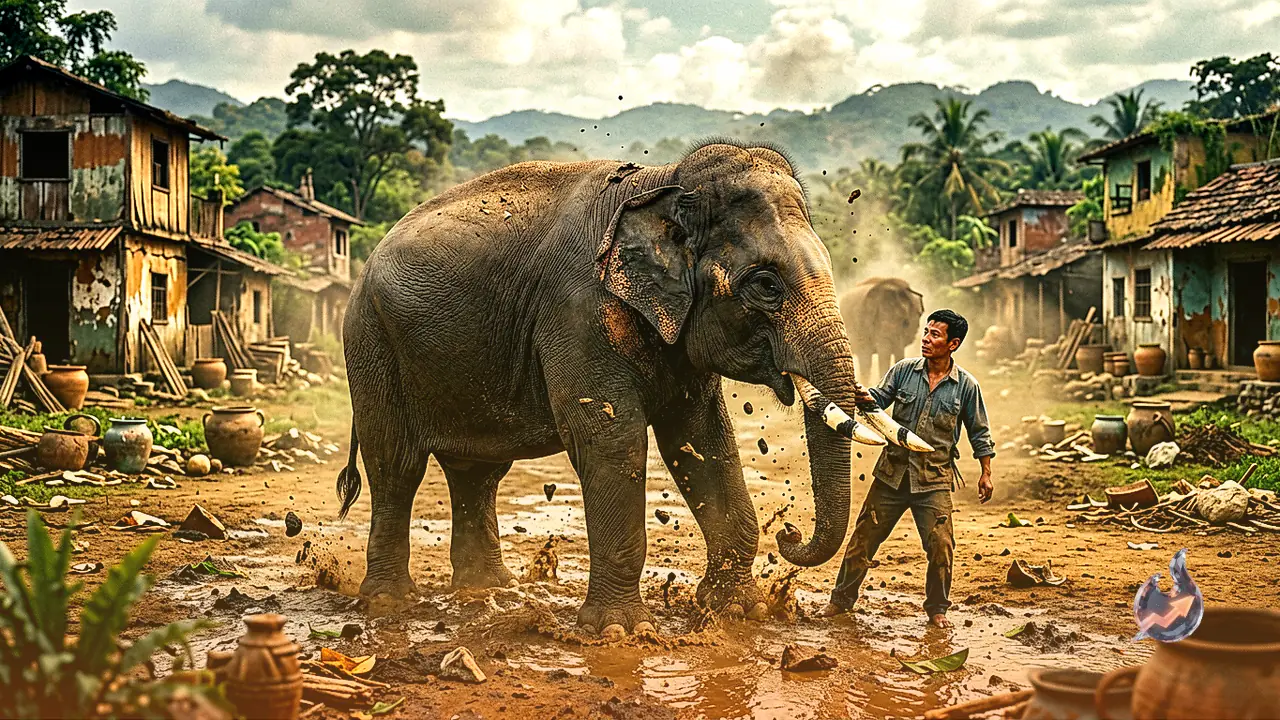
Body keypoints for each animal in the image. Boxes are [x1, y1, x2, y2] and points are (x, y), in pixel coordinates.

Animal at [336, 141, 930, 636]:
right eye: (765, 284)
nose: (788, 537)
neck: (664, 183)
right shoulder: (576, 313)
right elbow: (611, 438)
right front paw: (620, 631)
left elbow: (703, 439)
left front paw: (740, 611)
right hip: (370, 342)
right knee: (396, 463)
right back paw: (389, 603)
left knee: (477, 472)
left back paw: (488, 591)